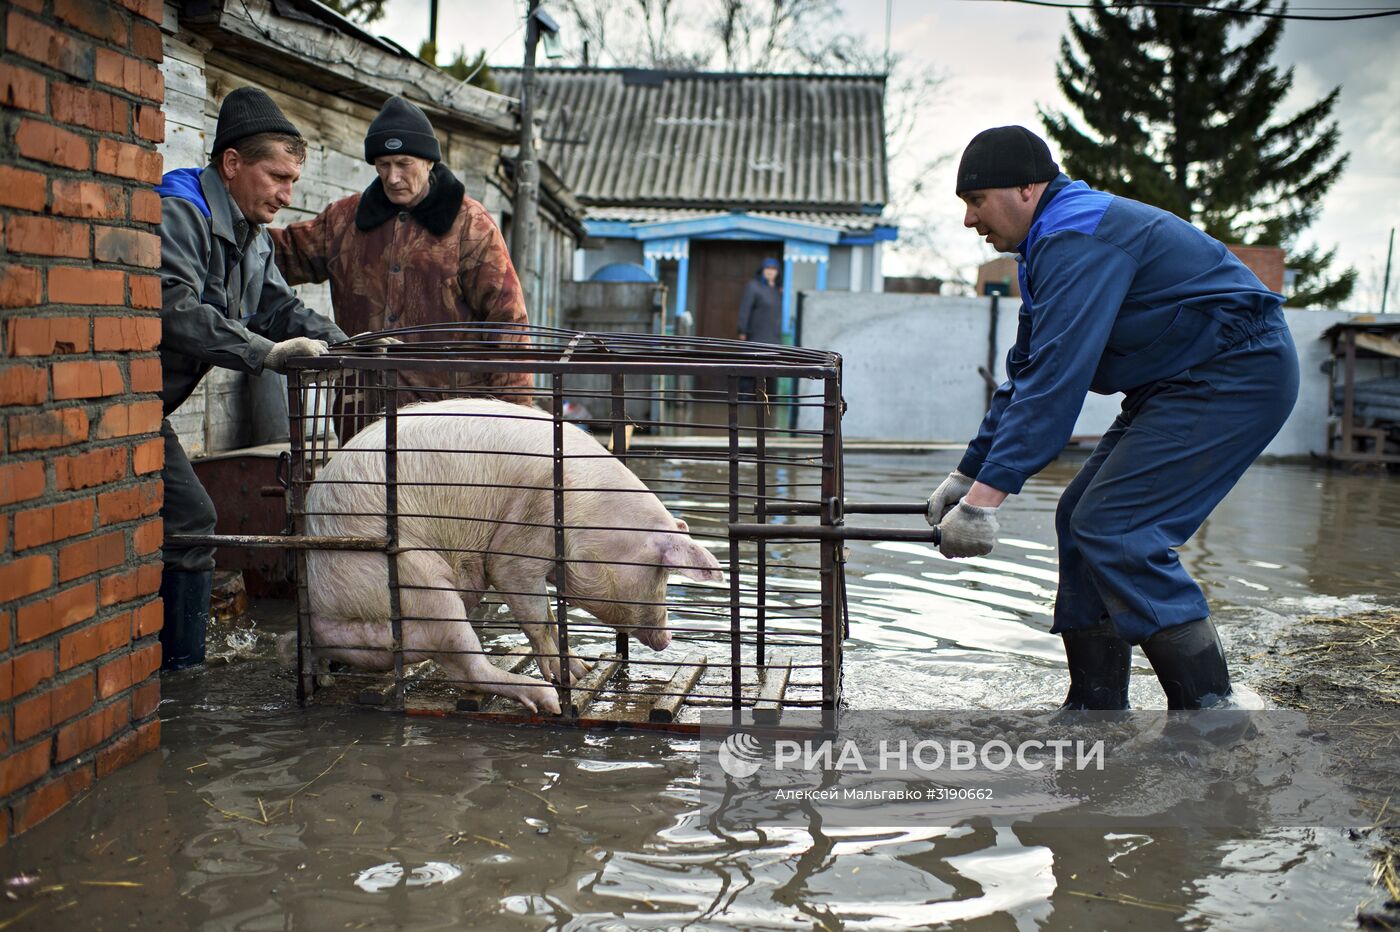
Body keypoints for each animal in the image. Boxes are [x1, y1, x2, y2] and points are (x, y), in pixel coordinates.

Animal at [302, 394, 728, 710]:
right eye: (662, 571)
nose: (668, 638)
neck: (589, 512)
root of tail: (322, 608)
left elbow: (551, 617)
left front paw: (582, 668)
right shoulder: (520, 541)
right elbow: (536, 614)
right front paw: (569, 675)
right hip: (417, 583)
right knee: (469, 667)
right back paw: (547, 701)